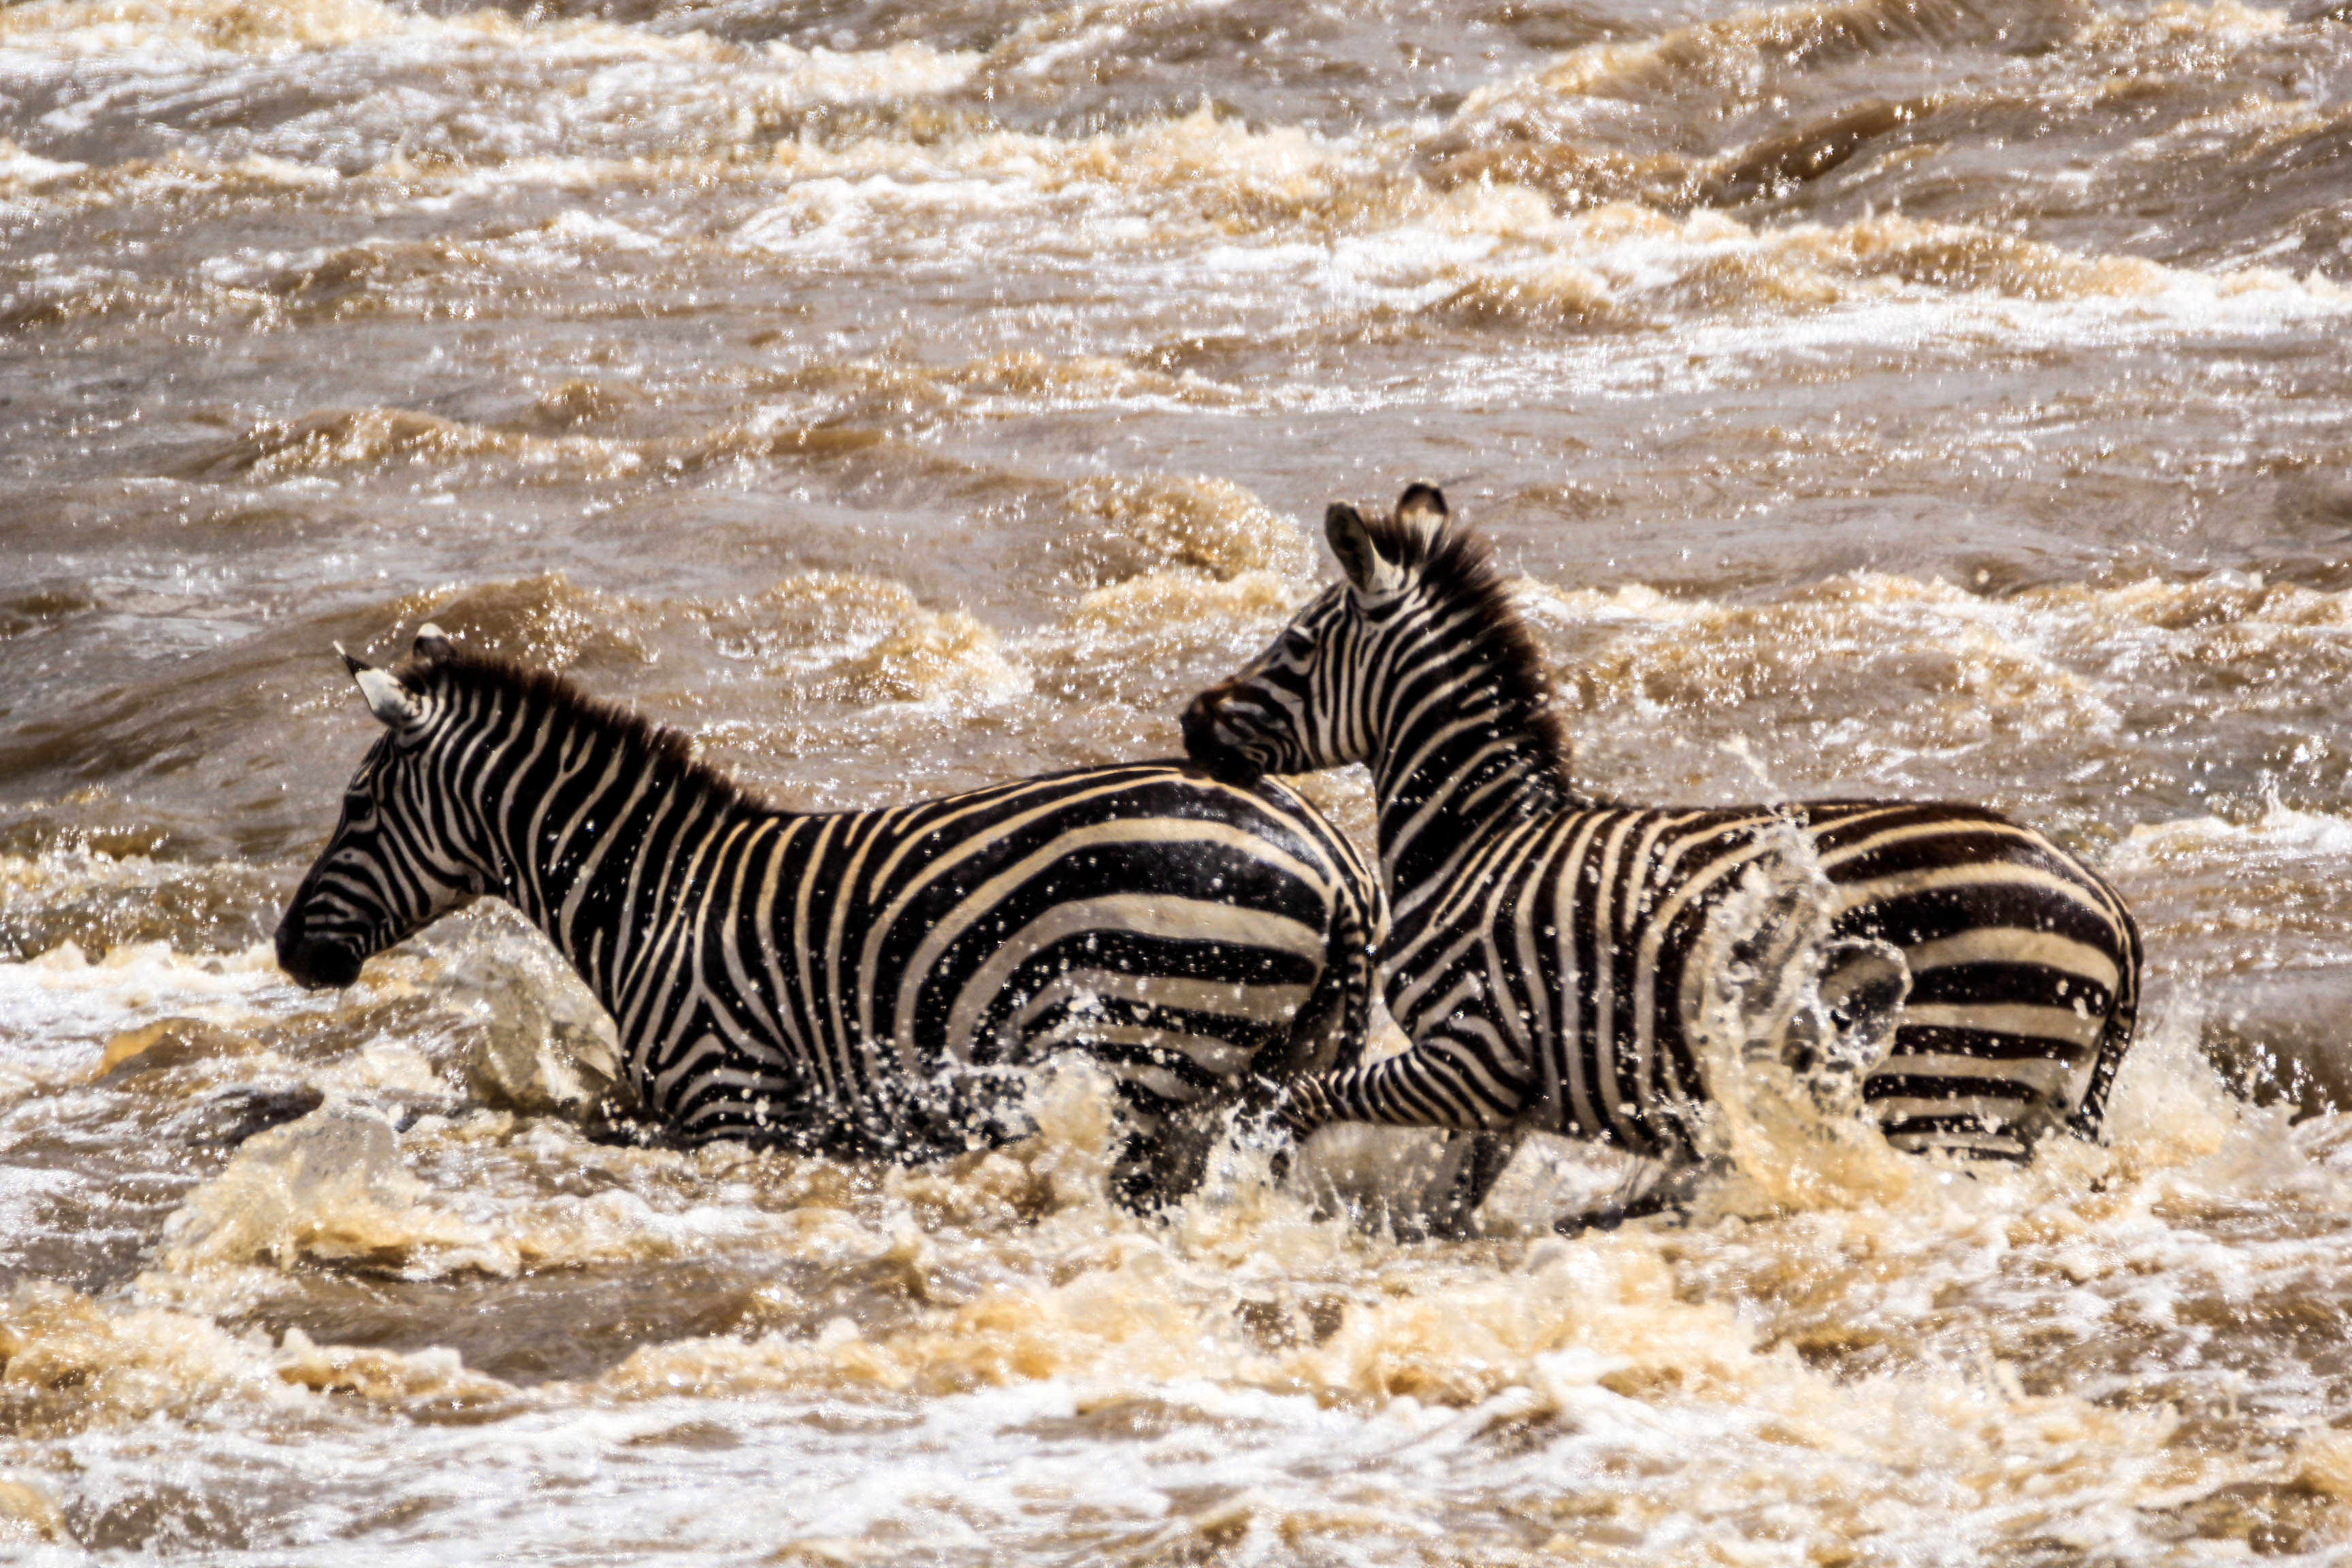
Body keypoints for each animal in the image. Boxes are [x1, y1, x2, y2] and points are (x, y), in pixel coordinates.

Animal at [275, 625, 1373, 1203]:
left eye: (356, 807)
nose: (288, 950)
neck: (656, 898)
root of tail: (1327, 852)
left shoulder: (730, 1102)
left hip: (1150, 1042)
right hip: (1273, 1069)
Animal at [1185, 484, 2144, 1222]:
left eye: (1297, 645)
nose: (1192, 719)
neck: (1475, 840)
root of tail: (2107, 903)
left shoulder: (1473, 1055)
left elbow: (1300, 1102)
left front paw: (1250, 1191)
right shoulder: (1500, 1101)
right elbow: (1443, 1208)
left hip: (1947, 1089)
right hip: (2013, 1106)